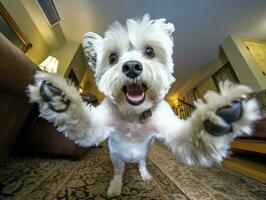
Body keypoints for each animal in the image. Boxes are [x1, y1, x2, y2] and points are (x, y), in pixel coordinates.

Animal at [27, 14, 260, 198]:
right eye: (112, 57)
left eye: (149, 51)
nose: (131, 67)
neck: (134, 114)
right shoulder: (94, 129)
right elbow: (80, 118)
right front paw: (59, 97)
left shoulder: (175, 133)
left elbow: (192, 135)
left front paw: (217, 116)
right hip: (116, 157)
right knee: (119, 171)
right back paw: (115, 187)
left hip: (143, 154)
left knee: (141, 163)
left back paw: (145, 174)